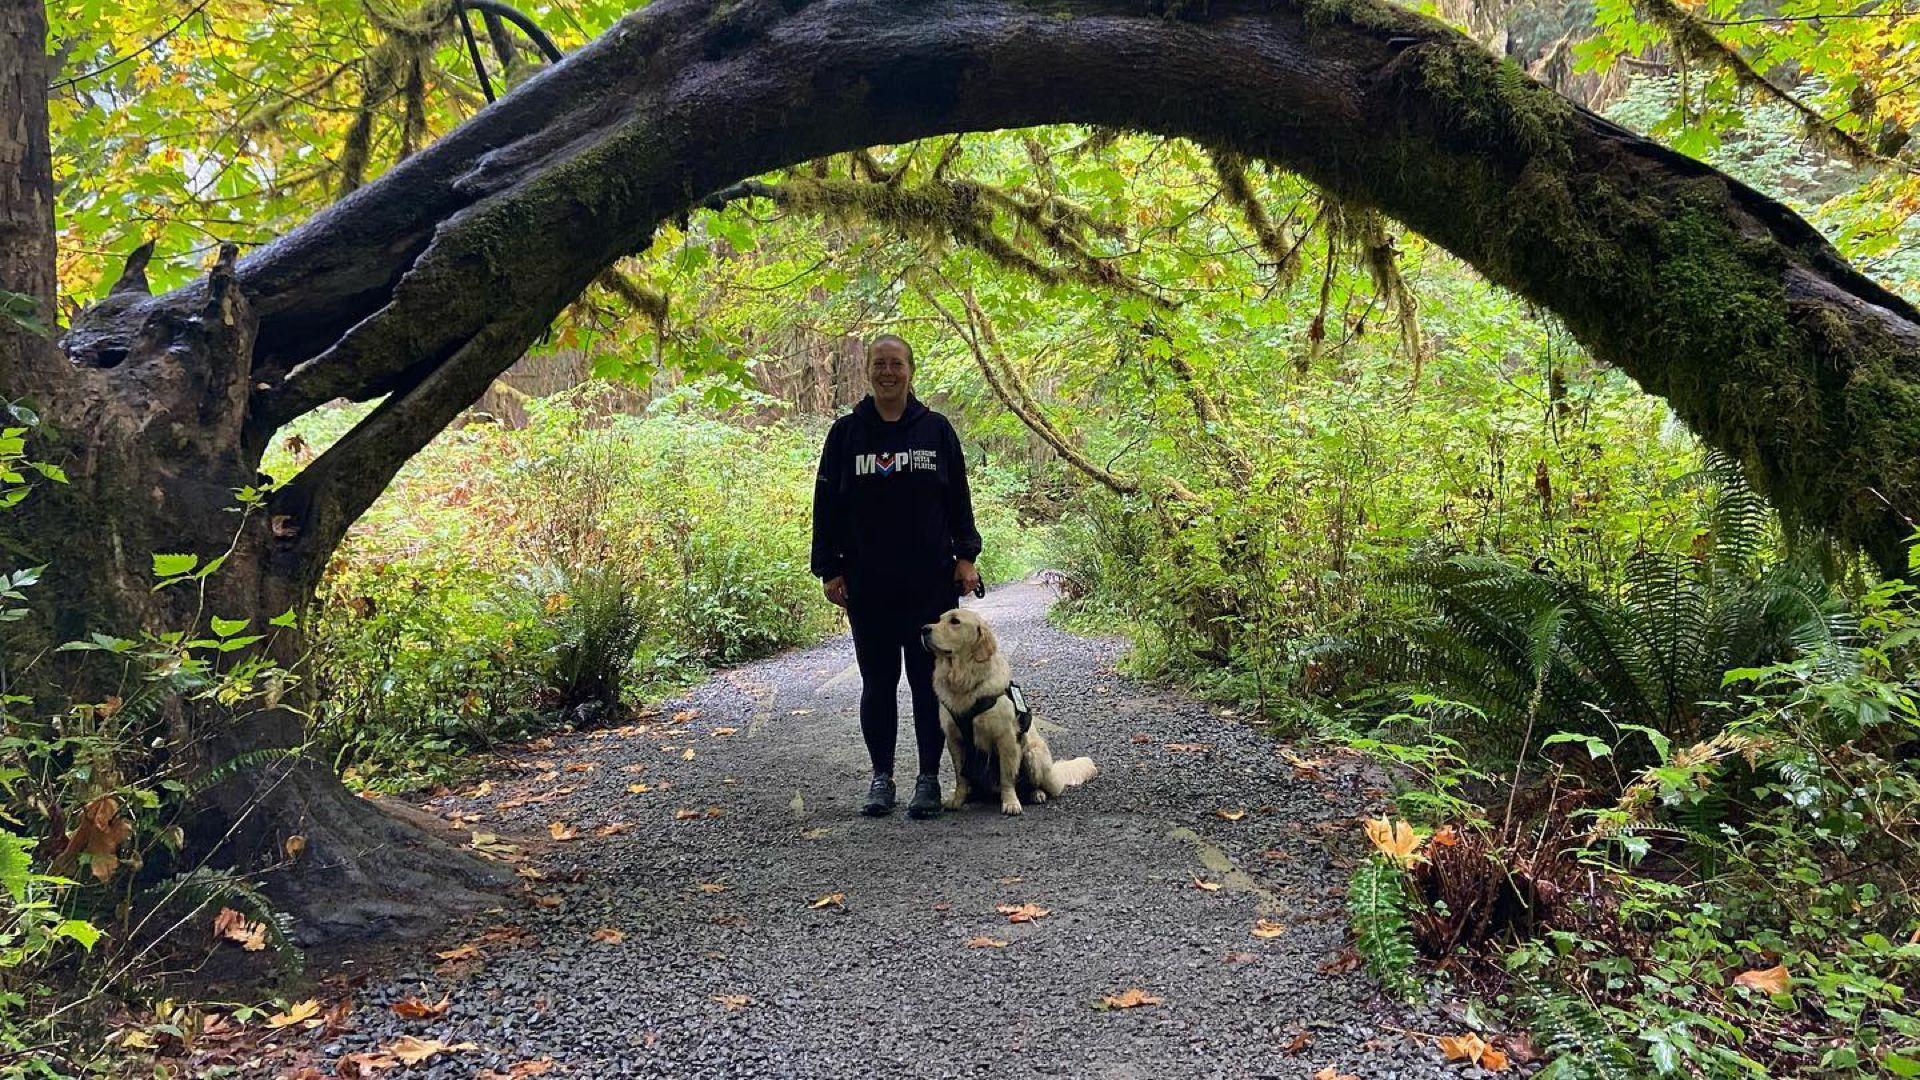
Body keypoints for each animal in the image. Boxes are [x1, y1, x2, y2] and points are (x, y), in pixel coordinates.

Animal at [917, 611, 1098, 810]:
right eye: (939, 619)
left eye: (955, 621)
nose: (924, 629)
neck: (964, 680)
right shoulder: (954, 740)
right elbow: (961, 778)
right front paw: (957, 800)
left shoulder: (1006, 739)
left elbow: (1007, 777)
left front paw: (1010, 802)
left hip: (1034, 755)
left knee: (1045, 788)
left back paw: (1036, 794)